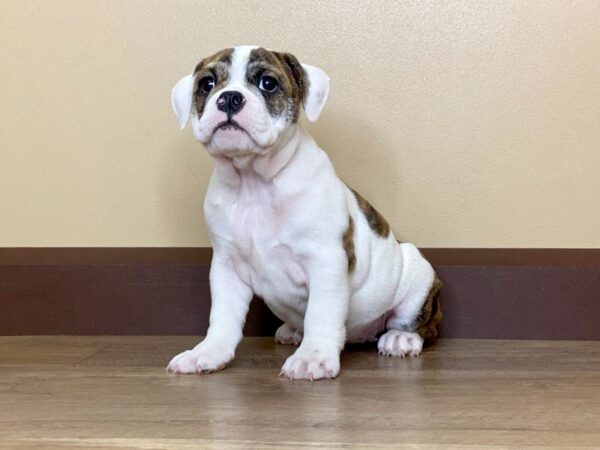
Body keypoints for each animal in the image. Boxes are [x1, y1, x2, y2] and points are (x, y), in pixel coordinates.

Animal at [166, 45, 442, 382]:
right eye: (206, 84)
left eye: (268, 83)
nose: (229, 98)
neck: (254, 183)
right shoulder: (227, 267)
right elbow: (223, 316)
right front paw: (208, 352)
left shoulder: (326, 261)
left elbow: (321, 314)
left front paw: (313, 357)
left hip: (418, 275)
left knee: (422, 324)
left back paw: (401, 338)